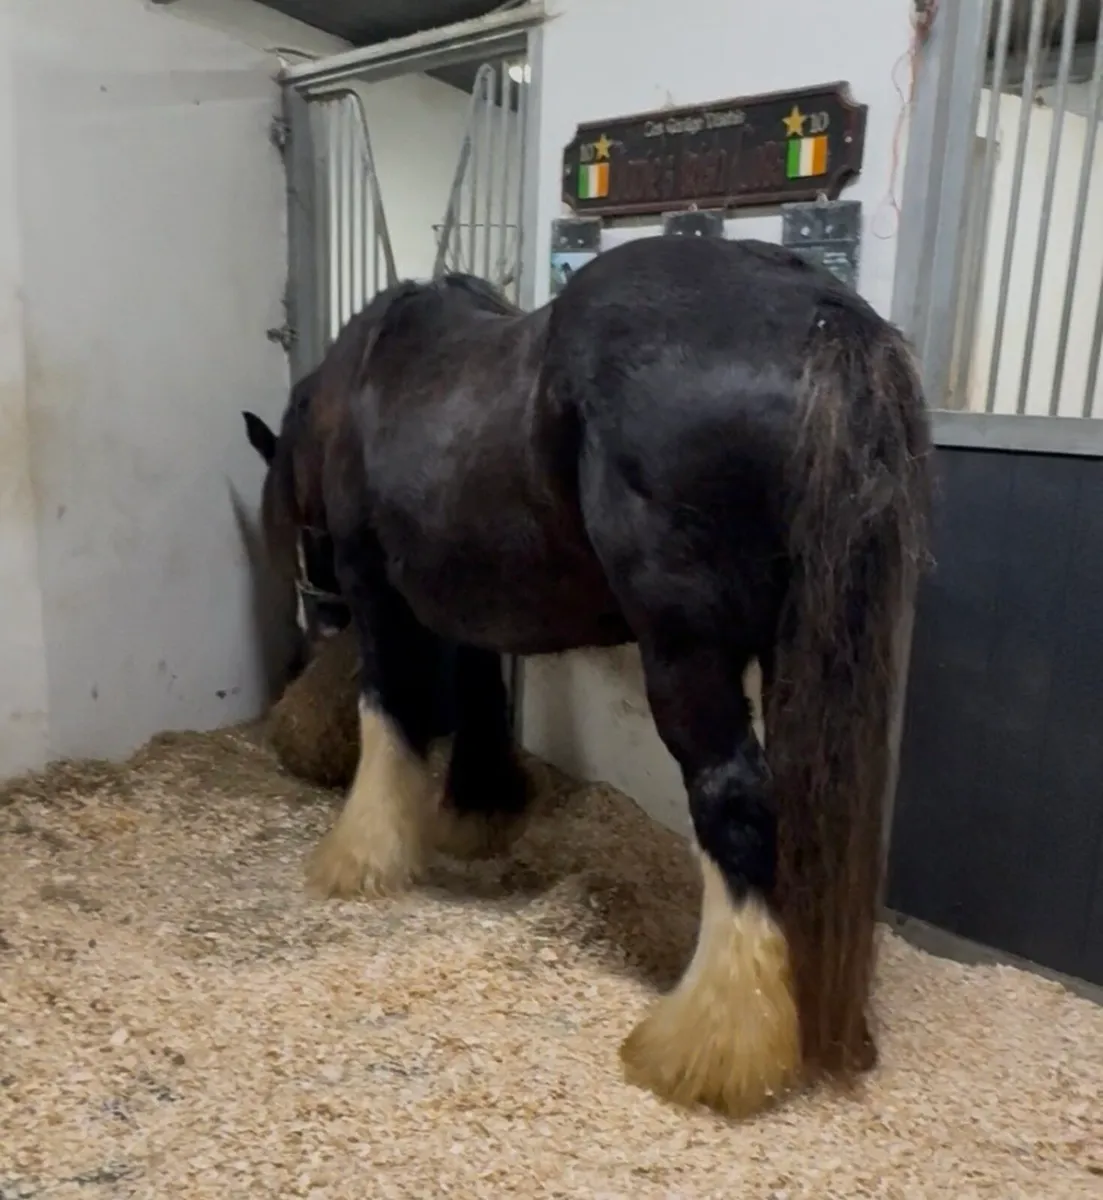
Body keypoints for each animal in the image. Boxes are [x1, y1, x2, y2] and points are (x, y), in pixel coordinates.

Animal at [241, 234, 932, 1121]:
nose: (313, 630)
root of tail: (818, 309)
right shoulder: (469, 600)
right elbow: (480, 696)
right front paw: (478, 810)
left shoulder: (380, 593)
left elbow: (389, 715)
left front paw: (361, 858)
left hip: (685, 653)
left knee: (735, 799)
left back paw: (712, 1046)